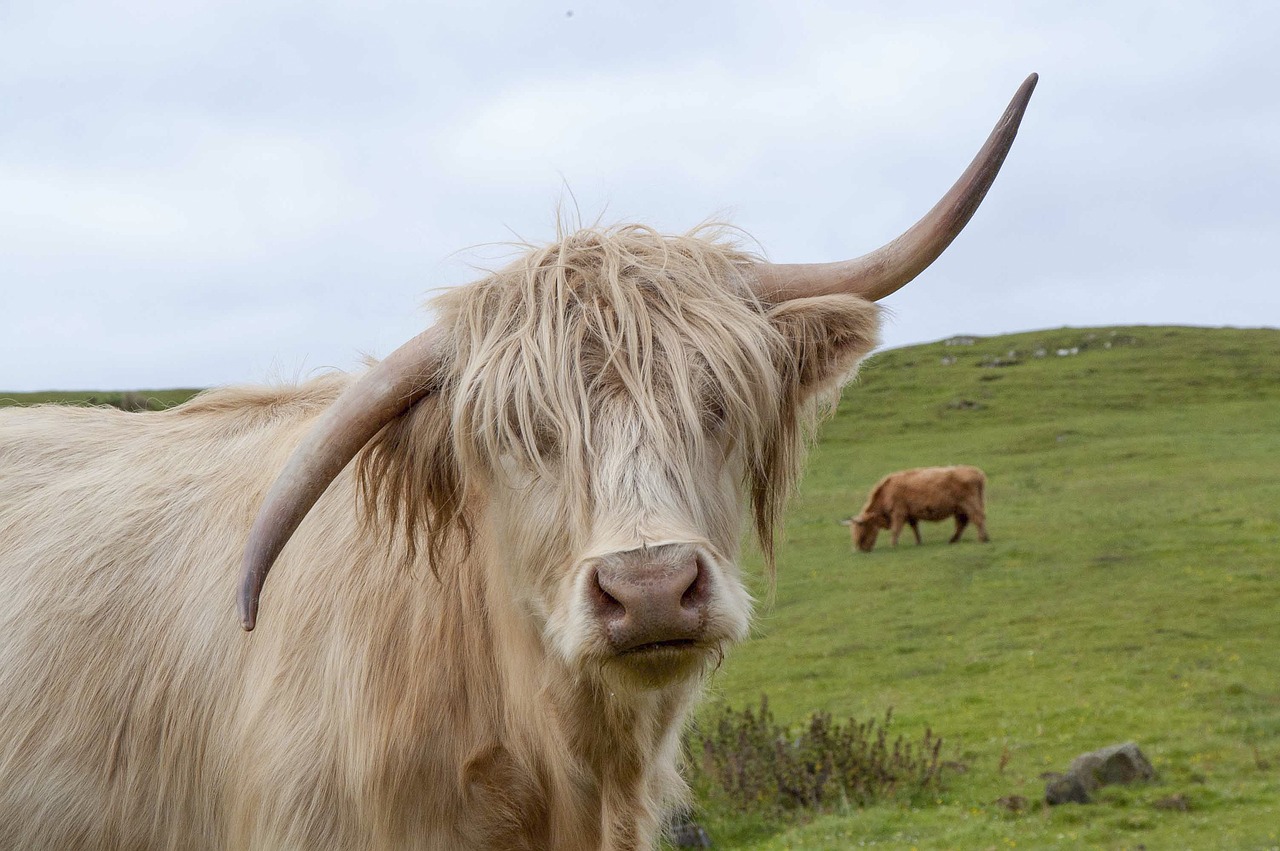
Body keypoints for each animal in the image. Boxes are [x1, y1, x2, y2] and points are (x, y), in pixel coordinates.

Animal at [844, 465, 993, 550]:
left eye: (861, 531)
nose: (860, 549)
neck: (886, 492)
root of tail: (977, 472)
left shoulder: (898, 513)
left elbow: (895, 530)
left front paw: (893, 545)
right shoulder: (911, 515)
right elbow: (915, 528)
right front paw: (918, 542)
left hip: (970, 504)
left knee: (977, 518)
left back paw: (983, 538)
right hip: (960, 508)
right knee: (962, 523)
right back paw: (954, 540)